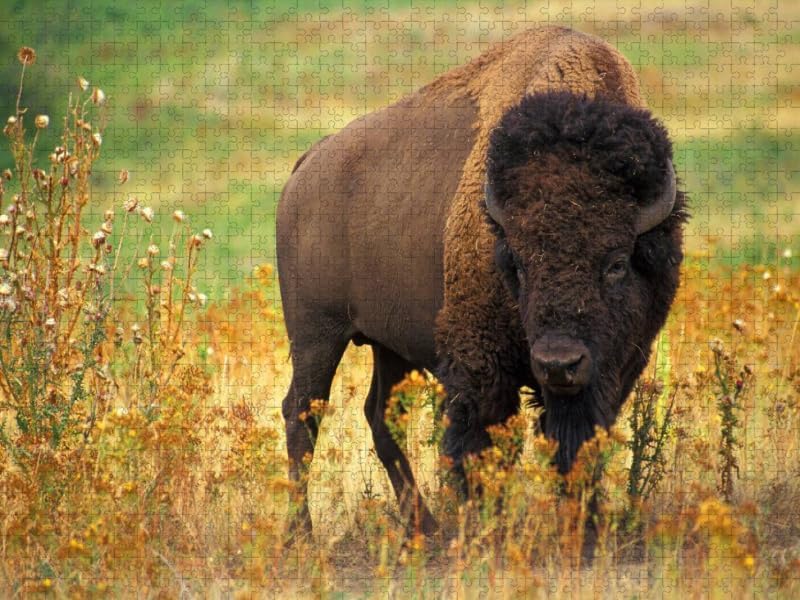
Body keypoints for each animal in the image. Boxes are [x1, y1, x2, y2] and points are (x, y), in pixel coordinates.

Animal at [277, 25, 686, 535]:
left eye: (615, 263)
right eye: (519, 263)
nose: (558, 363)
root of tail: (306, 166)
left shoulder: (614, 368)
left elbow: (577, 445)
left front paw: (582, 526)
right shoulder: (481, 365)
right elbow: (479, 448)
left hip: (389, 346)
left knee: (380, 416)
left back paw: (425, 527)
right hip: (316, 335)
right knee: (303, 414)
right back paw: (303, 533)